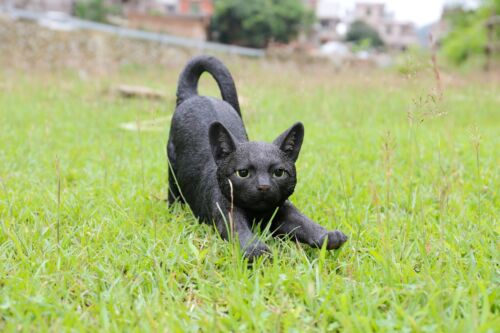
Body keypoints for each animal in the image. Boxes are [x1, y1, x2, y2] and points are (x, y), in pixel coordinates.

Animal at [166, 55, 346, 262]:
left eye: (279, 173)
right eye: (242, 173)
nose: (264, 186)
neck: (257, 213)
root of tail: (194, 96)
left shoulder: (282, 210)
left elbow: (302, 221)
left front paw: (327, 235)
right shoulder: (227, 213)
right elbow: (240, 232)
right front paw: (255, 249)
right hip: (172, 173)